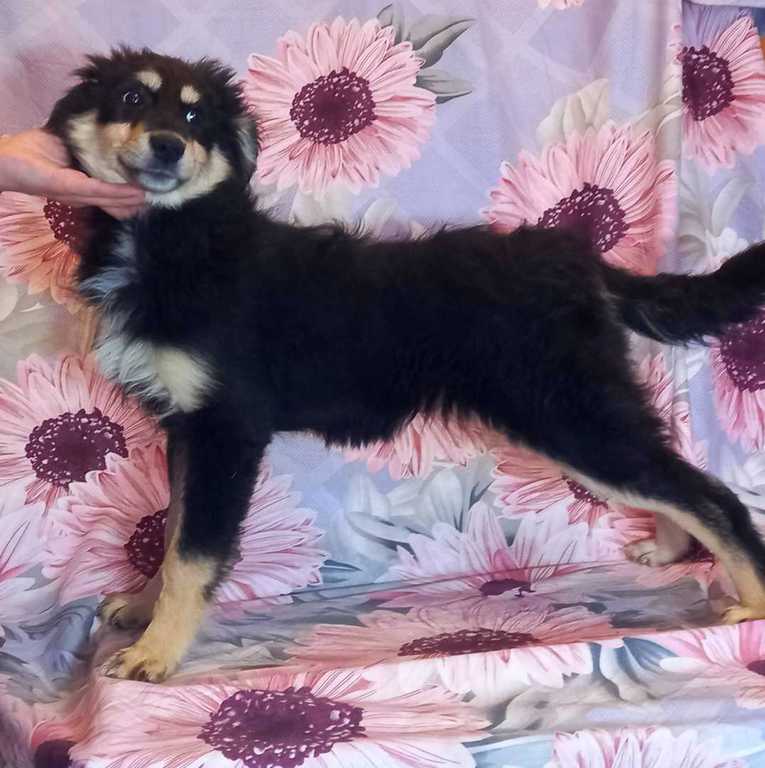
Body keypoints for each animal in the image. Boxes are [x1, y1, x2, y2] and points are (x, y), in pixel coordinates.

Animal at [44, 46, 765, 682]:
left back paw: (751, 602)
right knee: (670, 473)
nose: (168, 144)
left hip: (566, 411)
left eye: (196, 117)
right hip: (580, 410)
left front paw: (153, 654)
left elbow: (193, 553)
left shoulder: (226, 428)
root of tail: (580, 260)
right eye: (131, 99)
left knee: (709, 493)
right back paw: (669, 549)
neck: (171, 241)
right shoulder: (186, 429)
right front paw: (143, 611)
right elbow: (171, 533)